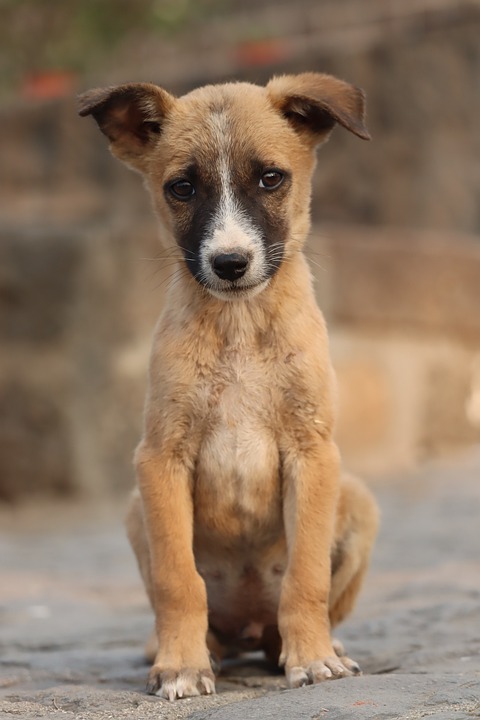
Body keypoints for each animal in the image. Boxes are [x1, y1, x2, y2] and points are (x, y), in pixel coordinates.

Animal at [79, 74, 378, 704]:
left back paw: (319, 644)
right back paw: (186, 651)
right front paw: (181, 666)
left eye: (270, 178)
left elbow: (306, 574)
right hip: (134, 511)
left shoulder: (314, 453)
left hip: (359, 499)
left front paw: (313, 658)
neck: (239, 326)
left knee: (289, 619)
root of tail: (247, 626)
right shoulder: (159, 458)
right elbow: (178, 580)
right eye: (182, 187)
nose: (230, 262)